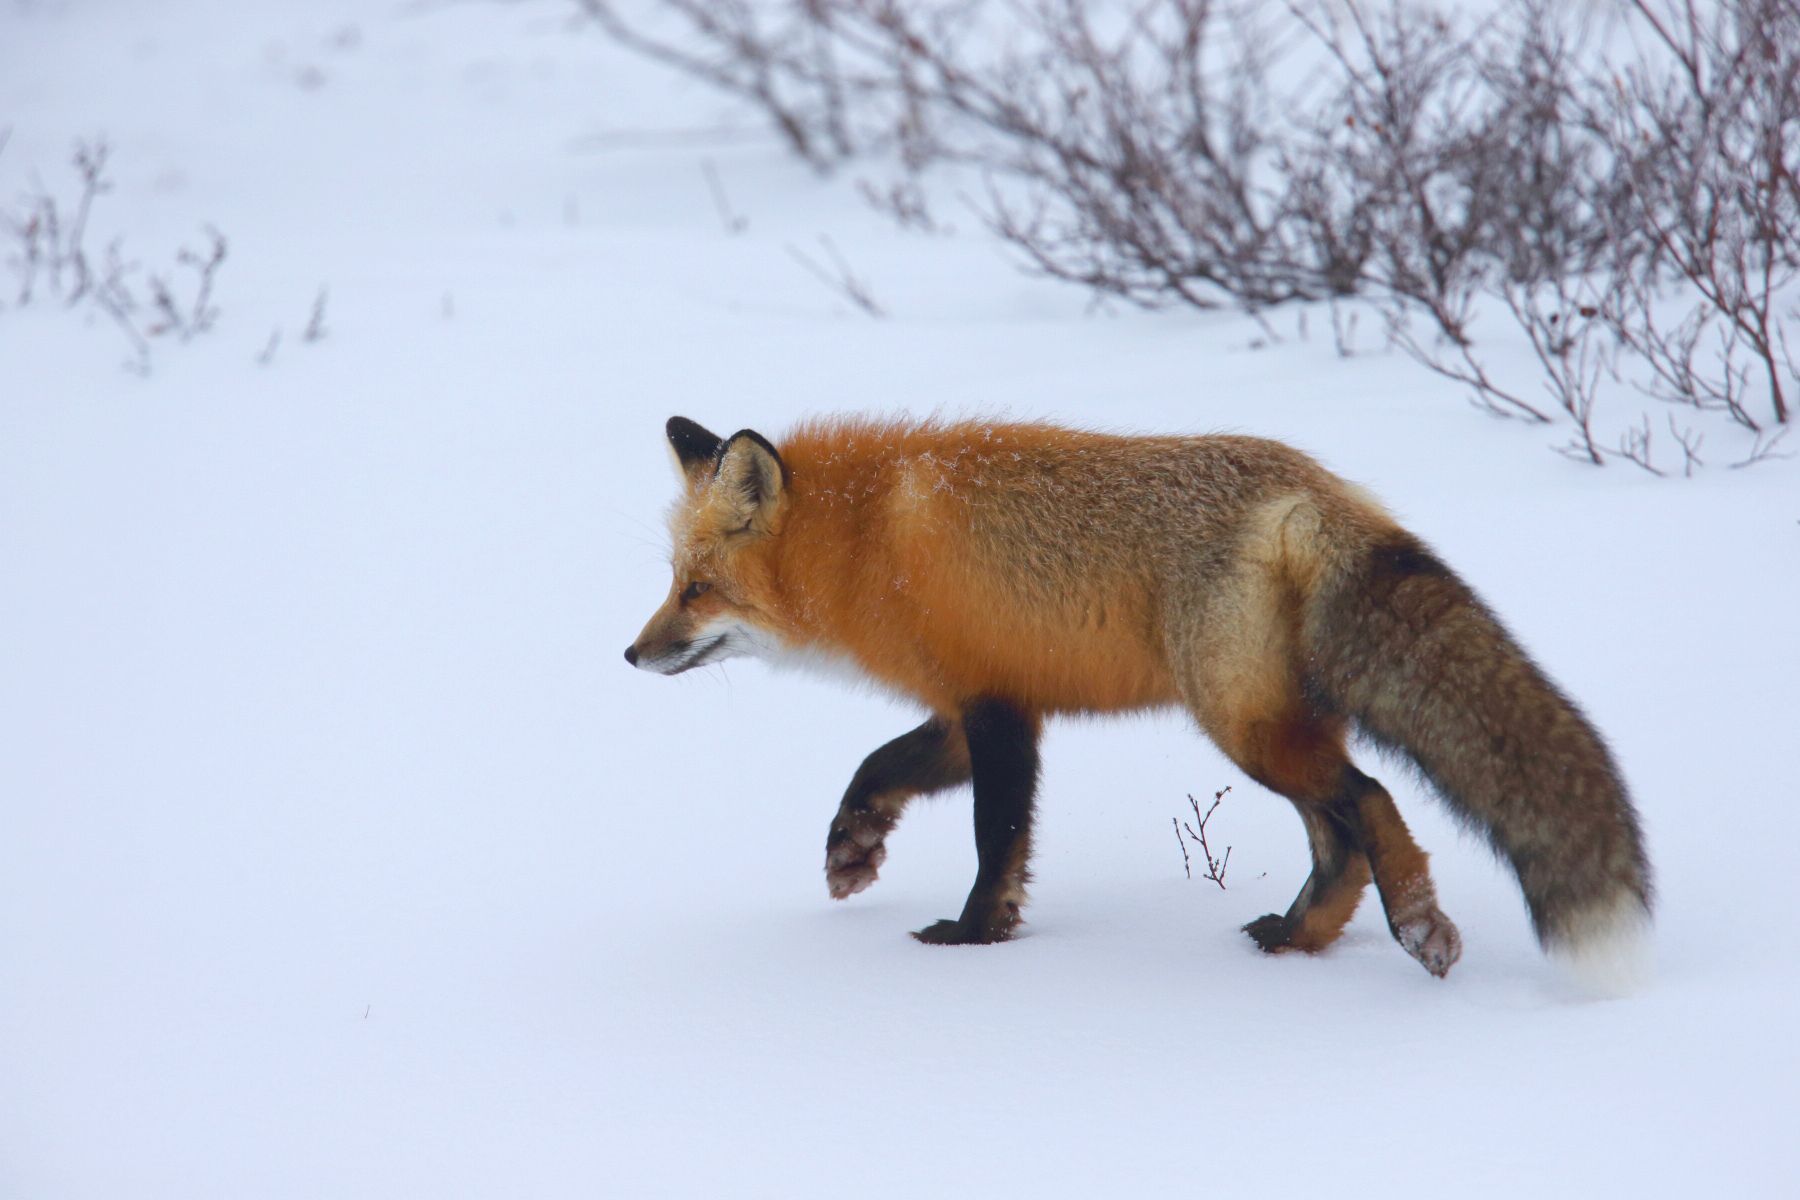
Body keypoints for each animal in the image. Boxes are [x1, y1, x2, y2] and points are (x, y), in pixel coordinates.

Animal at [626, 417, 1648, 993]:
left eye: (697, 590)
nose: (631, 654)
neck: (866, 538)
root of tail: (1309, 488)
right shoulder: (972, 705)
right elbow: (877, 767)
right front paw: (853, 848)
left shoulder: (996, 709)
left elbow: (996, 840)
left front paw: (973, 938)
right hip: (1276, 722)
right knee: (1337, 837)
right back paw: (1296, 939)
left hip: (1243, 726)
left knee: (1369, 803)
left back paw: (1418, 928)